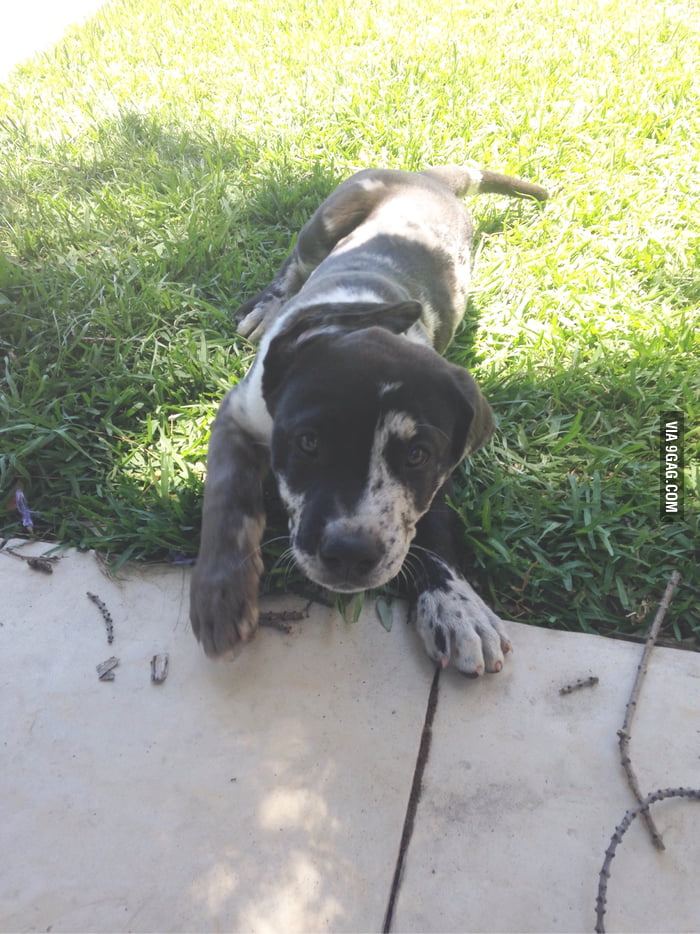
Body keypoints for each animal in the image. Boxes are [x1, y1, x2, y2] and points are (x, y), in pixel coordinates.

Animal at [190, 166, 548, 672]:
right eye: (308, 442)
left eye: (418, 456)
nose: (350, 554)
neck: (362, 316)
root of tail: (428, 175)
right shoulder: (239, 415)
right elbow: (228, 500)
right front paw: (221, 596)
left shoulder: (442, 468)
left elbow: (433, 525)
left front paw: (458, 607)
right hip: (329, 218)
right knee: (294, 263)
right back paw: (265, 305)